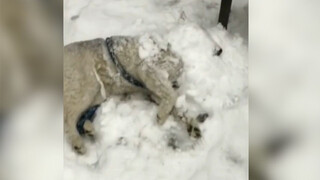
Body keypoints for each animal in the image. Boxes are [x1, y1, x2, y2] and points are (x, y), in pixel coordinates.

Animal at [64, 35, 209, 154]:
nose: (177, 85)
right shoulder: (148, 69)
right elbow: (171, 95)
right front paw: (162, 116)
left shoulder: (153, 90)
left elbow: (176, 107)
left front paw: (191, 126)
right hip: (85, 88)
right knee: (68, 119)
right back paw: (77, 143)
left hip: (95, 96)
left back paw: (89, 130)